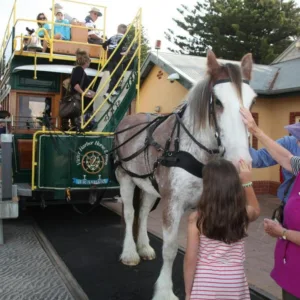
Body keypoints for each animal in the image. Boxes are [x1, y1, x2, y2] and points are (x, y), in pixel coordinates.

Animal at [113, 50, 254, 298]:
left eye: (251, 101)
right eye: (218, 102)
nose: (241, 161)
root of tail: (128, 120)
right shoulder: (173, 203)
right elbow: (170, 249)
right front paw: (164, 291)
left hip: (149, 187)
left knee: (143, 213)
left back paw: (144, 247)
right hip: (125, 178)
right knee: (130, 213)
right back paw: (130, 252)